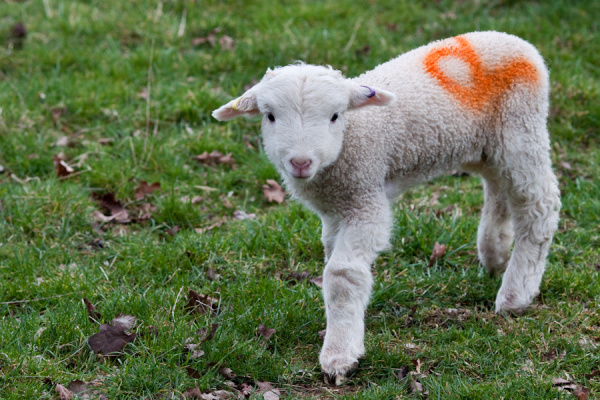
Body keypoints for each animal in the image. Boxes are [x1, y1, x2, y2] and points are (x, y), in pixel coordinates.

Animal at [211, 31, 556, 384]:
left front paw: (339, 355)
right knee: (499, 188)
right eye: (270, 116)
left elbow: (342, 274)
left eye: (335, 115)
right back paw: (494, 255)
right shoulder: (336, 210)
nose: (300, 162)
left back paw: (515, 294)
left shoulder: (365, 200)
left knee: (538, 206)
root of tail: (515, 41)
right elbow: (333, 261)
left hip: (521, 129)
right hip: (488, 145)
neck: (352, 136)